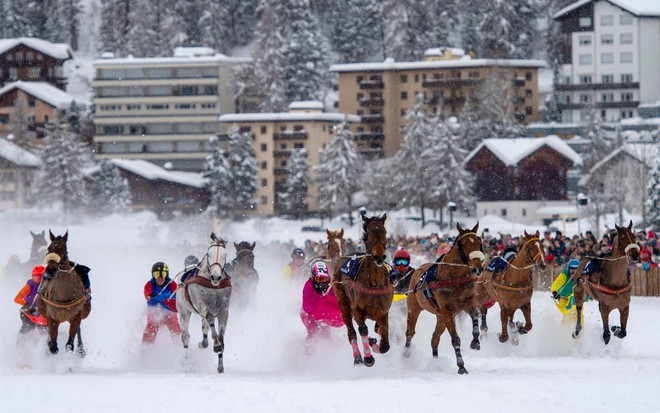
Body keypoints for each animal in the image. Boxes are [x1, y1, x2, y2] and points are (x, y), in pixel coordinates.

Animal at [177, 232, 233, 374]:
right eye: (209, 254)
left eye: (225, 255)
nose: (216, 277)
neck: (213, 286)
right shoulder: (201, 305)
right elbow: (209, 319)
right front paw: (217, 344)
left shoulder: (224, 310)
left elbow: (221, 334)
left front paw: (220, 365)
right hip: (183, 310)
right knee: (185, 336)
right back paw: (186, 363)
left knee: (205, 327)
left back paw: (204, 343)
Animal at [336, 214, 392, 366]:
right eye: (369, 235)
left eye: (385, 232)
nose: (379, 257)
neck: (374, 283)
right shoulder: (358, 309)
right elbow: (363, 329)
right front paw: (368, 357)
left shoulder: (383, 312)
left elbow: (385, 345)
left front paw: (375, 343)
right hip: (343, 301)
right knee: (351, 332)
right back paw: (358, 357)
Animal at [402, 222, 484, 374]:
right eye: (464, 244)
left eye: (478, 242)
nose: (478, 268)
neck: (453, 277)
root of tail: (417, 270)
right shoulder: (447, 311)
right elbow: (455, 339)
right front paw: (461, 365)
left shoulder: (467, 302)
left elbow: (475, 315)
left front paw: (475, 341)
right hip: (414, 308)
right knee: (410, 332)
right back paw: (406, 353)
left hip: (440, 317)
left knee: (435, 338)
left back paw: (435, 362)